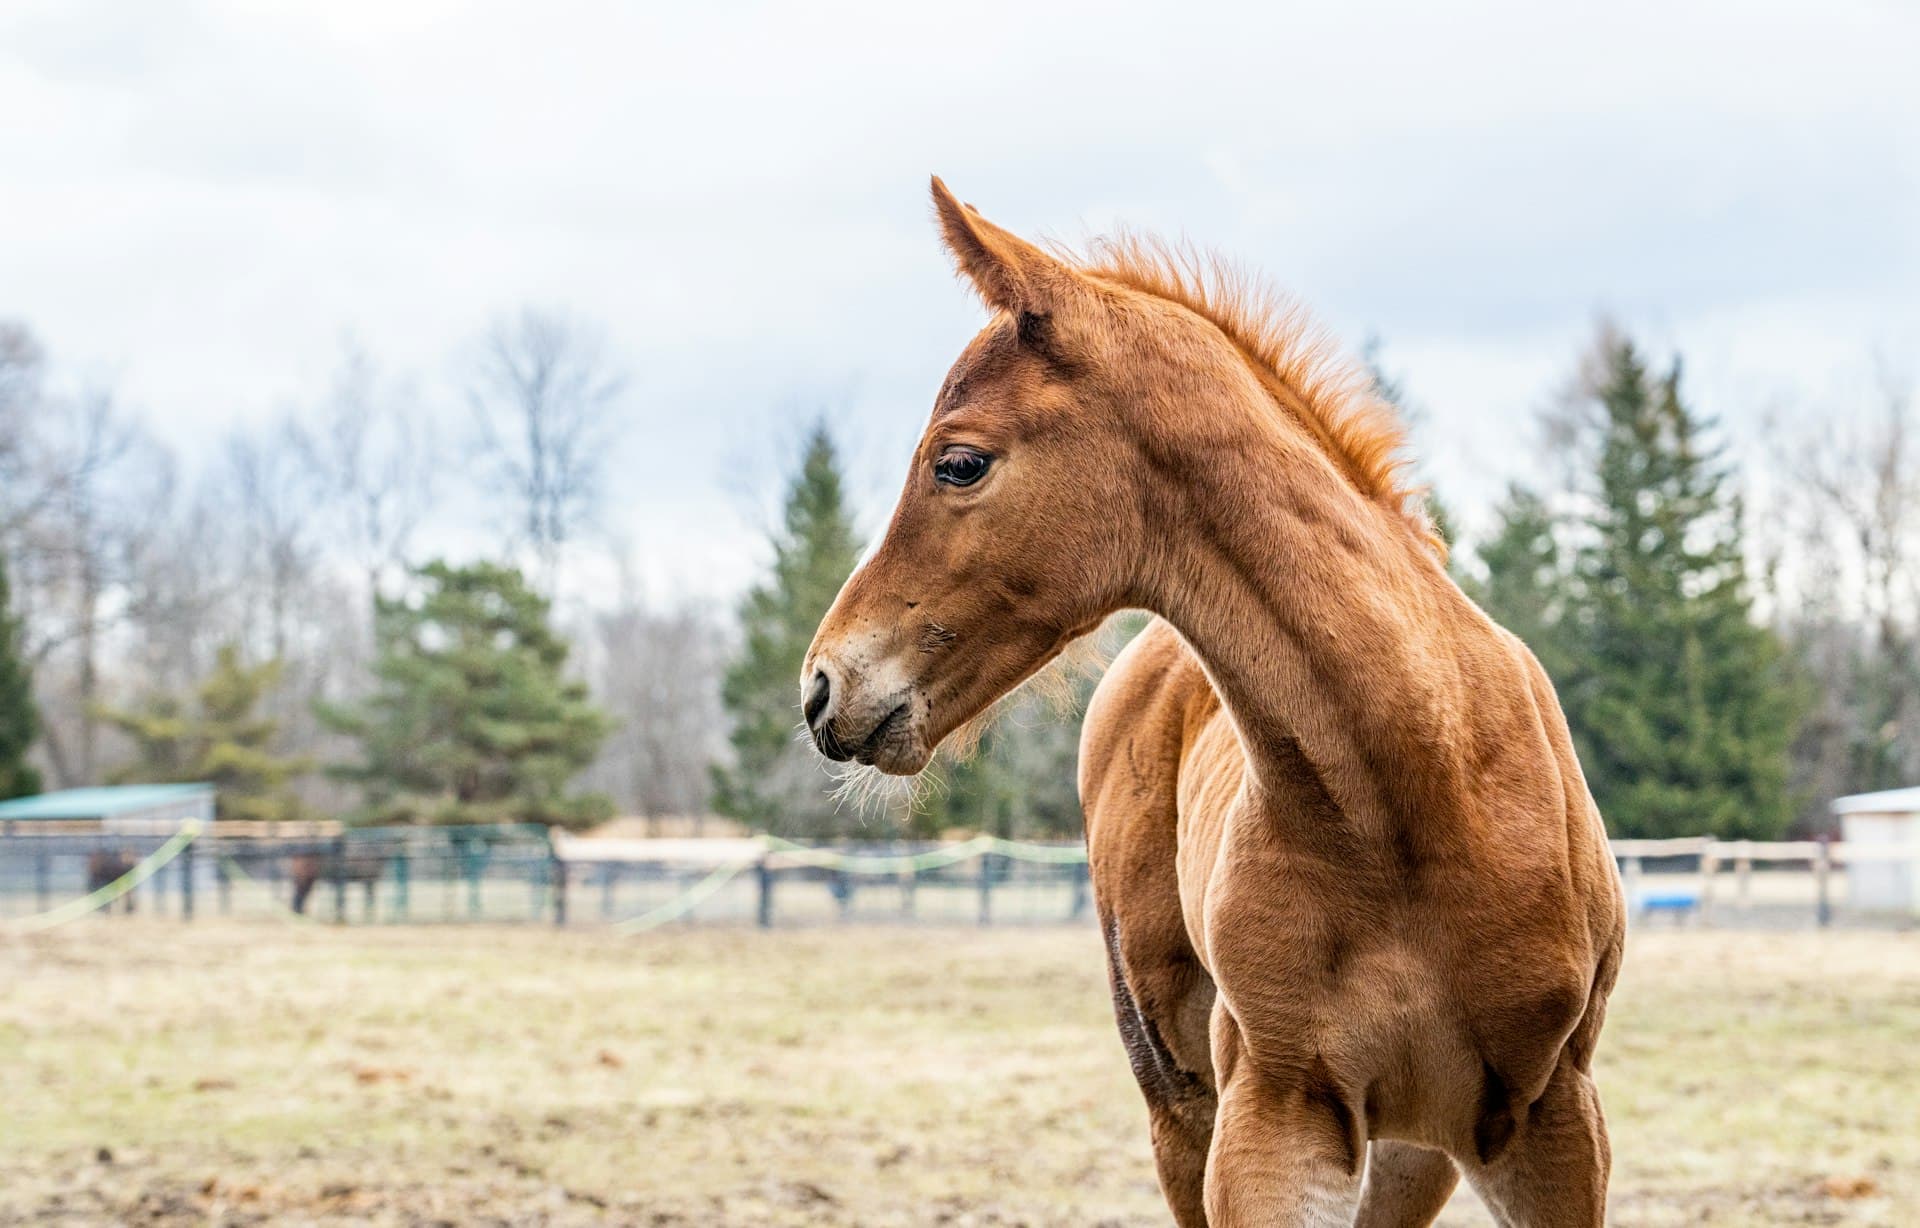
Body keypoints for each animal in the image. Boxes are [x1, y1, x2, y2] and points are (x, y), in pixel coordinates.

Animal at [800, 179, 1625, 1226]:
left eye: (959, 462)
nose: (822, 686)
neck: (1420, 797)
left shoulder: (1555, 1121)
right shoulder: (1274, 1116)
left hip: (1417, 1151)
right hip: (1180, 1101)